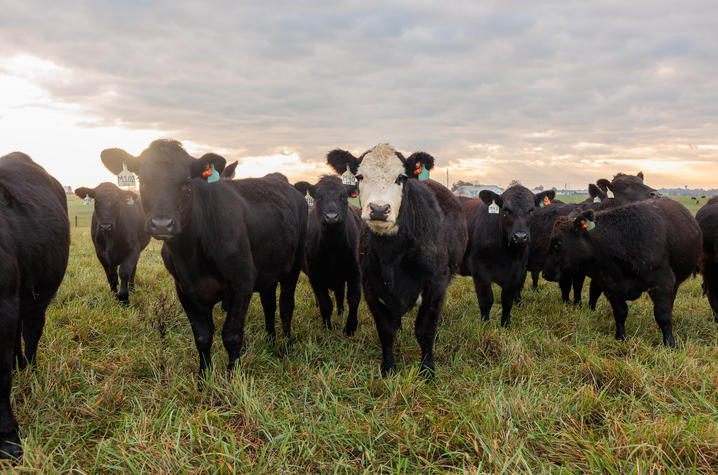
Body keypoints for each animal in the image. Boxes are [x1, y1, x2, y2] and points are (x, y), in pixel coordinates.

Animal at [100, 139, 307, 379]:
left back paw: (286, 344)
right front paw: (203, 377)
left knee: (286, 305)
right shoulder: (185, 289)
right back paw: (270, 340)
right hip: (269, 270)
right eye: (142, 180)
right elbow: (202, 335)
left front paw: (232, 377)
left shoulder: (242, 282)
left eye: (187, 182)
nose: (162, 224)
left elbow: (231, 335)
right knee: (269, 304)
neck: (191, 254)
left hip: (293, 266)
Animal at [294, 176, 362, 334]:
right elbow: (325, 303)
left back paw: (341, 313)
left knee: (340, 294)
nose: (331, 217)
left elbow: (353, 299)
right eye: (319, 197)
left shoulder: (355, 272)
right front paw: (327, 329)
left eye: (344, 196)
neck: (333, 248)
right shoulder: (315, 275)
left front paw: (350, 328)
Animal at [326, 144, 467, 377]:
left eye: (401, 177)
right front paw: (388, 368)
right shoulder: (371, 286)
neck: (392, 255)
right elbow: (386, 330)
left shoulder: (436, 285)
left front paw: (427, 370)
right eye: (360, 176)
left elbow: (425, 329)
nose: (379, 209)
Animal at [459, 185, 555, 326]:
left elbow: (507, 300)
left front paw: (505, 324)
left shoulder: (516, 272)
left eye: (531, 210)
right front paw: (485, 325)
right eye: (506, 209)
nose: (520, 237)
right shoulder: (480, 272)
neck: (506, 254)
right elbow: (486, 300)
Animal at [543, 198, 701, 347]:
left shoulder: (662, 282)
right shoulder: (609, 286)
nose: (545, 273)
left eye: (558, 243)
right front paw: (620, 337)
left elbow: (662, 315)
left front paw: (670, 343)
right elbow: (620, 313)